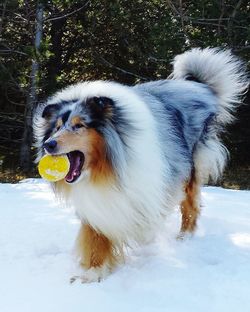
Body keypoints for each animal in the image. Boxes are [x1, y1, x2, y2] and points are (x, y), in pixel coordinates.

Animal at [33, 48, 248, 282]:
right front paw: (92, 273)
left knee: (190, 206)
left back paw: (184, 237)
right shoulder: (97, 201)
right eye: (57, 127)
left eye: (79, 125)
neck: (106, 168)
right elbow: (95, 236)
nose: (48, 144)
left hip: (190, 168)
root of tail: (198, 86)